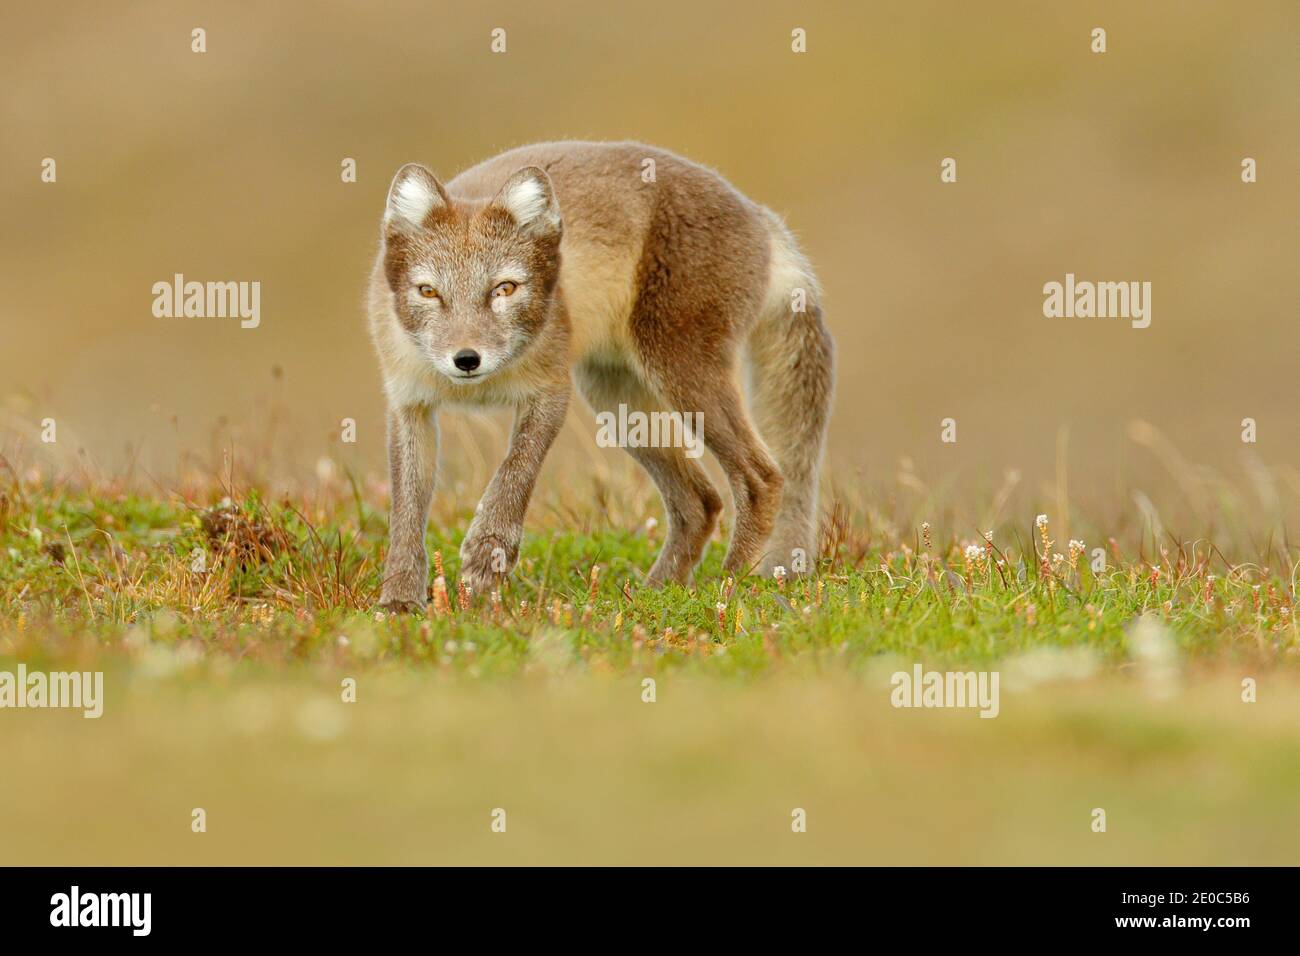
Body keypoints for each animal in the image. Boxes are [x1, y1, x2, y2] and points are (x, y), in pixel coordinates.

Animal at [369, 140, 832, 613]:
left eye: (505, 289)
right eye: (429, 292)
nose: (466, 359)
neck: (482, 389)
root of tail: (759, 214)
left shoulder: (551, 390)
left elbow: (515, 474)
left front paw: (487, 556)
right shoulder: (409, 404)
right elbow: (406, 513)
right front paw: (399, 599)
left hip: (677, 370)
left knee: (762, 477)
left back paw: (728, 584)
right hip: (619, 400)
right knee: (701, 501)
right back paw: (654, 593)